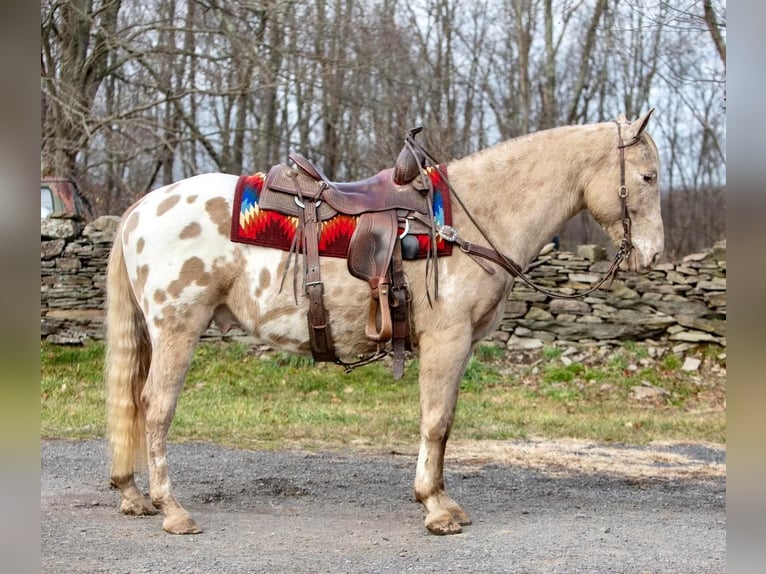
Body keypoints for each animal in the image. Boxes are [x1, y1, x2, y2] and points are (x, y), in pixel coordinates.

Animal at [103, 110, 664, 536]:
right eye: (648, 177)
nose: (653, 254)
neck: (470, 219)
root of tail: (140, 208)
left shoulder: (459, 347)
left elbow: (446, 422)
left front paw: (443, 500)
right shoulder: (446, 339)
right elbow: (435, 420)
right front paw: (435, 509)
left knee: (134, 401)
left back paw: (133, 495)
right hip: (177, 329)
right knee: (156, 408)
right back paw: (172, 510)